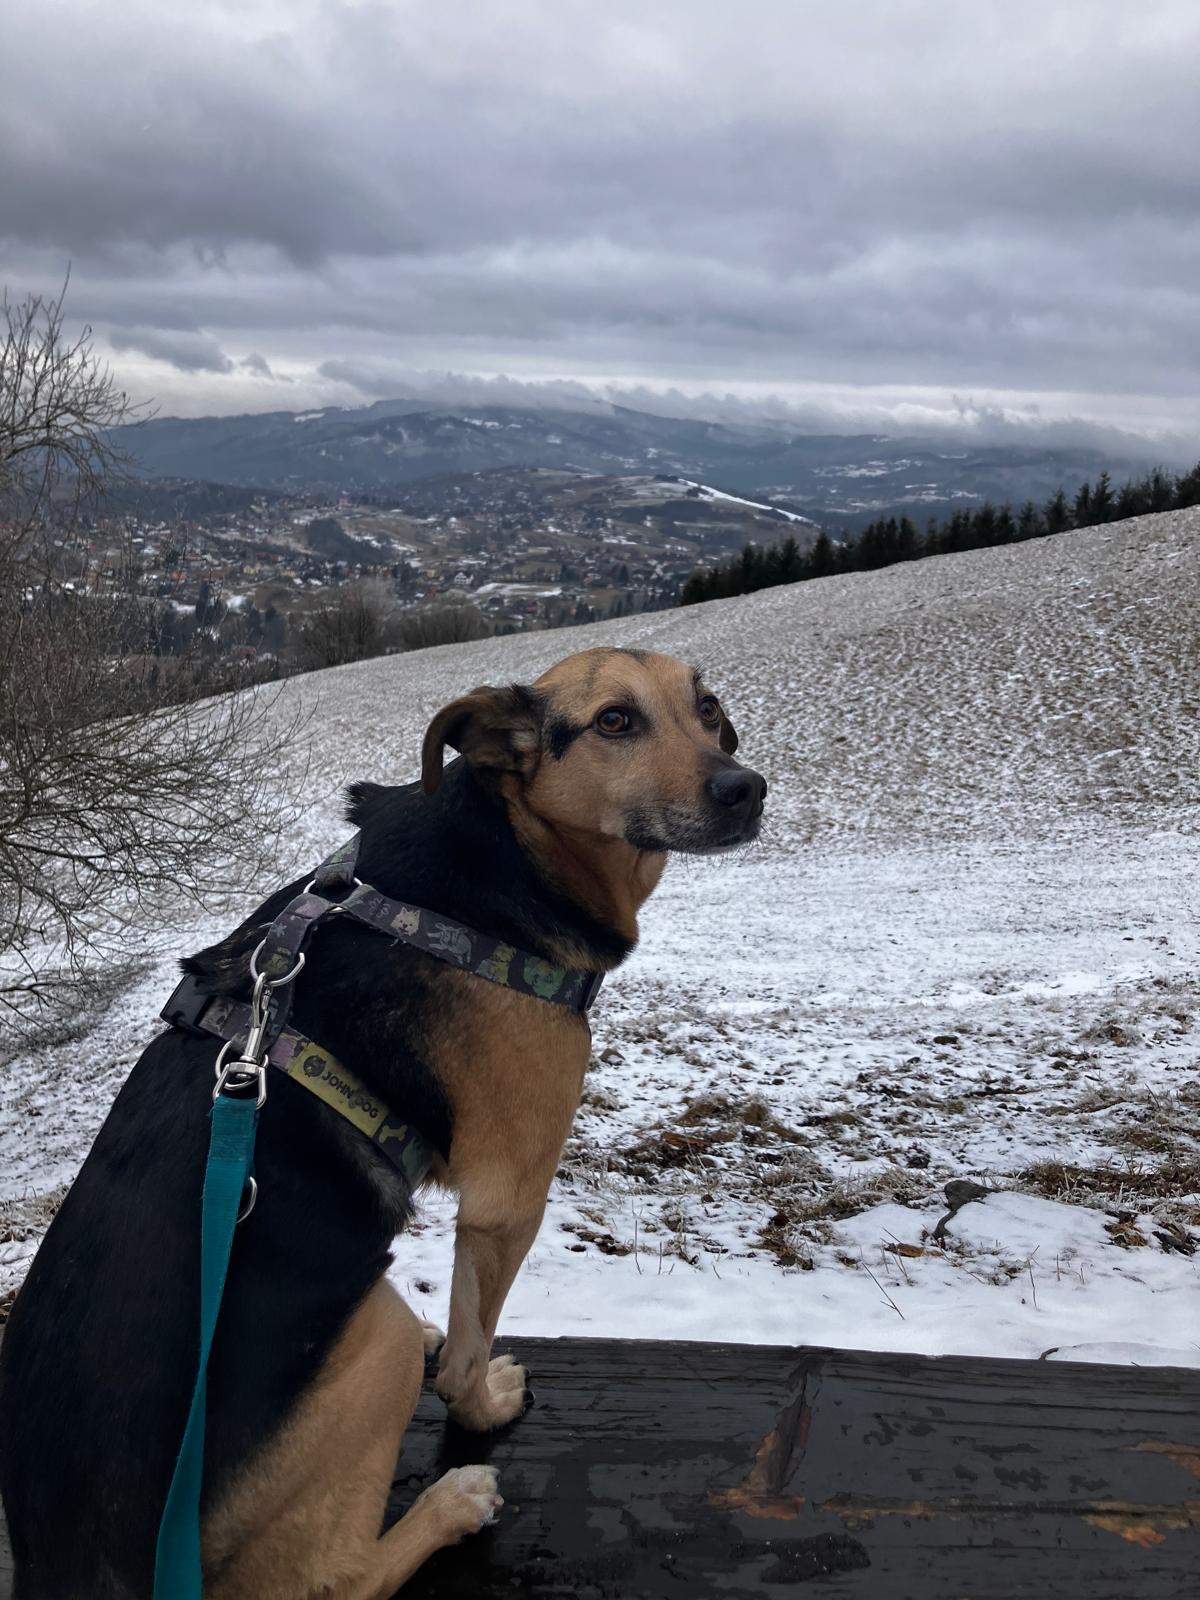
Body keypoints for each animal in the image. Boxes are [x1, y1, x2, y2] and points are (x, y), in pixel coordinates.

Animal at [0, 646, 765, 1599]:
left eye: (709, 709)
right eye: (615, 721)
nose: (748, 789)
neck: (510, 848)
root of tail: (77, 1566)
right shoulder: (508, 1199)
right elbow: (471, 1350)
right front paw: (485, 1408)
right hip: (381, 1342)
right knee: (333, 1577)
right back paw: (452, 1505)